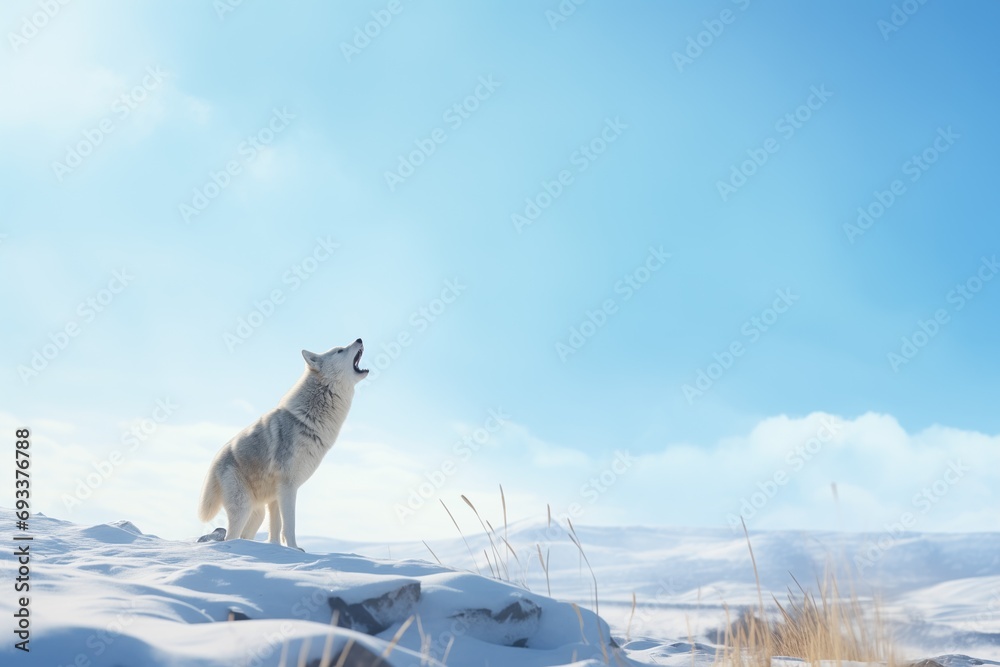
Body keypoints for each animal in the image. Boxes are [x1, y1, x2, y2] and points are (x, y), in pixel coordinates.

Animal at [198, 338, 368, 549]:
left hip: (258, 514)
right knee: (231, 536)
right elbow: (289, 525)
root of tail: (214, 463)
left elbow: (276, 529)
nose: (359, 339)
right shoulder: (288, 486)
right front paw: (295, 550)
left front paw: (277, 547)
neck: (307, 419)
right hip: (243, 507)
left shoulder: (276, 495)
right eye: (339, 350)